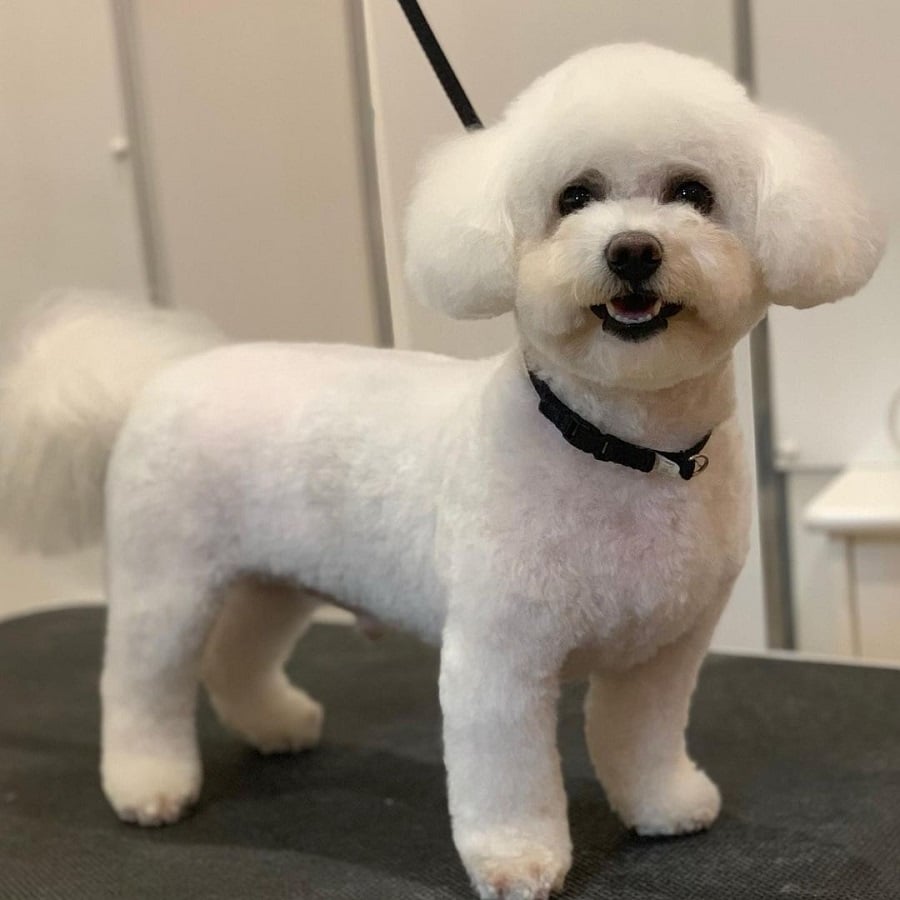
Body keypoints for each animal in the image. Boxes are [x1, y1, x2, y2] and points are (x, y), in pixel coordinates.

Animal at [0, 45, 884, 900]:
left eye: (693, 193)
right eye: (574, 198)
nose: (633, 250)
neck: (616, 446)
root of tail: (162, 373)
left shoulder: (661, 654)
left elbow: (643, 739)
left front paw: (665, 805)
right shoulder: (499, 658)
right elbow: (508, 777)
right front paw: (518, 862)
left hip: (272, 579)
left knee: (237, 656)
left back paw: (276, 725)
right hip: (168, 581)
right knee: (139, 684)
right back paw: (147, 784)